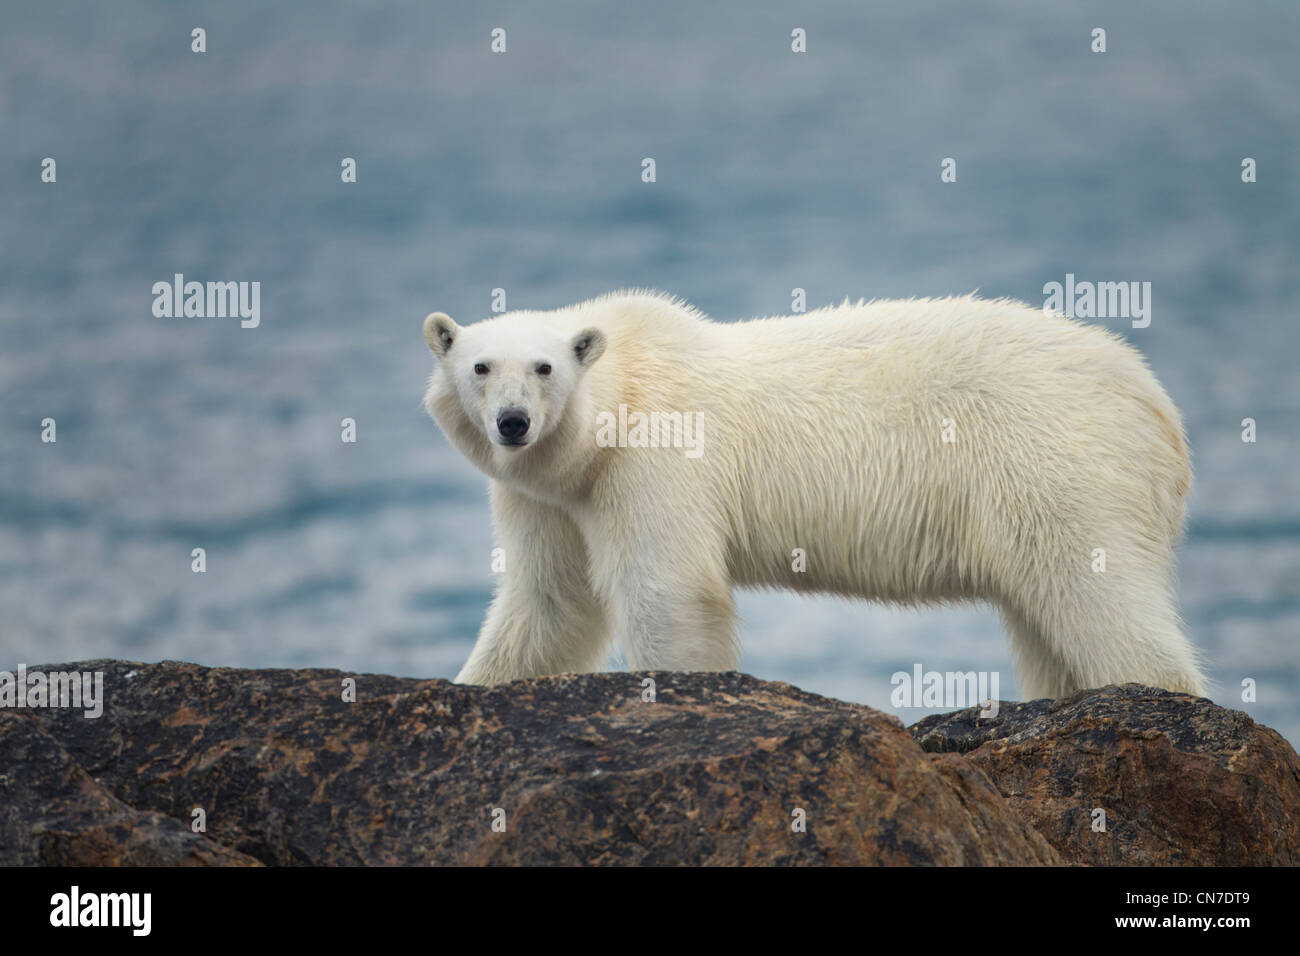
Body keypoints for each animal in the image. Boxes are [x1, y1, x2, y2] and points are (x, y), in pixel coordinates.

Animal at [421, 287, 1201, 697]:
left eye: (544, 367)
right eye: (481, 366)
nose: (513, 423)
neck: (624, 396)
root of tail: (1157, 404)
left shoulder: (655, 462)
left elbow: (666, 591)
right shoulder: (550, 496)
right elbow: (552, 602)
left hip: (1056, 459)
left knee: (1093, 592)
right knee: (1045, 623)